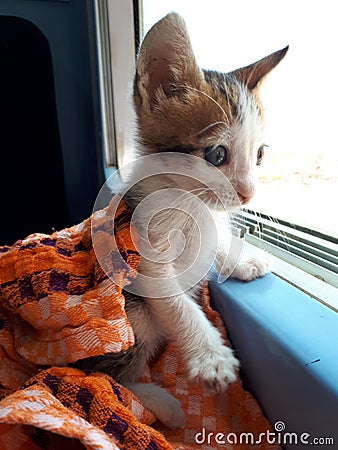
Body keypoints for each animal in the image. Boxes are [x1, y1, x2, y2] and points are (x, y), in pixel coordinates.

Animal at [82, 12, 288, 428]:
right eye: (216, 155)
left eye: (259, 154)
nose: (249, 194)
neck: (188, 198)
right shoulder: (142, 258)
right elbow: (178, 305)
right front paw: (211, 357)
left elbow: (213, 244)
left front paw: (243, 260)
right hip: (130, 316)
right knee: (104, 378)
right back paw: (161, 405)